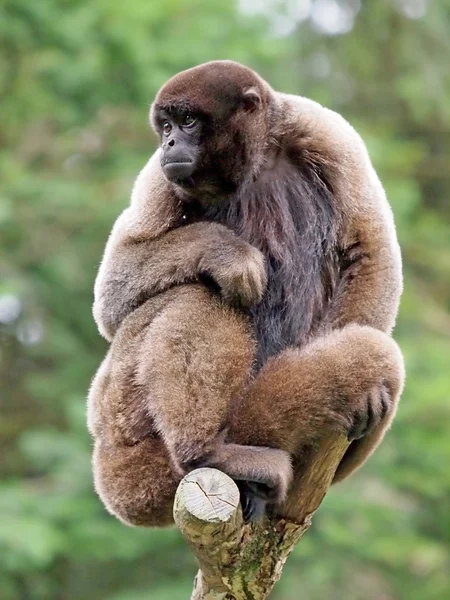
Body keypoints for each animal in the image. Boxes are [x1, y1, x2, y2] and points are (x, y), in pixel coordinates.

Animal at [88, 61, 404, 524]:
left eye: (187, 121)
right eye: (165, 125)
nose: (169, 142)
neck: (256, 160)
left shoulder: (325, 132)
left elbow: (369, 251)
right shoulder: (160, 174)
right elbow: (111, 298)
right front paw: (229, 255)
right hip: (120, 415)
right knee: (196, 293)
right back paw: (205, 452)